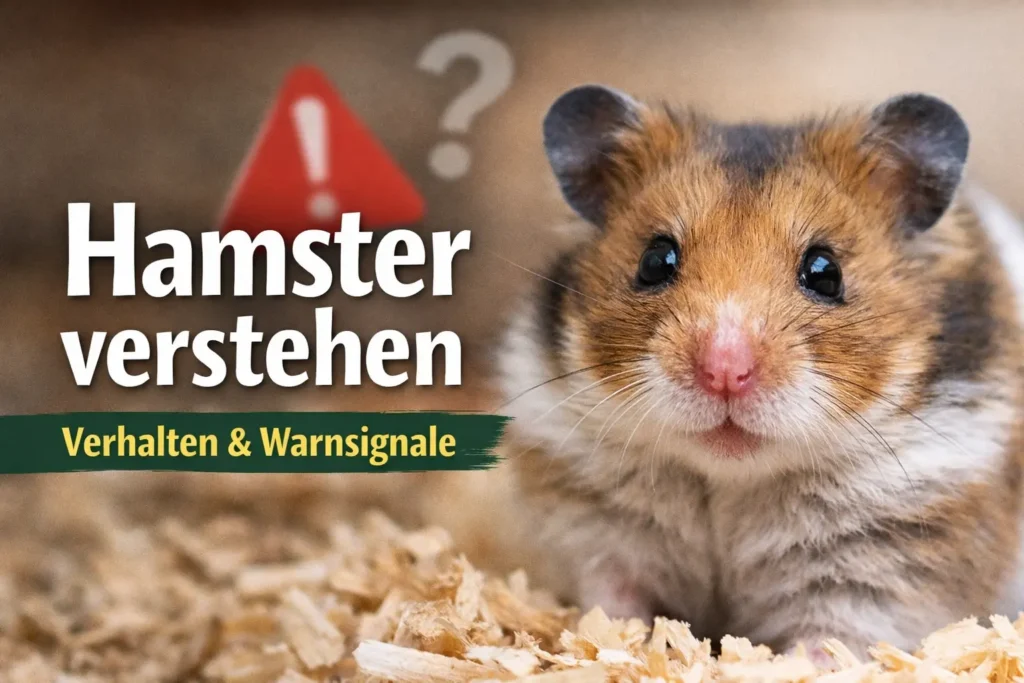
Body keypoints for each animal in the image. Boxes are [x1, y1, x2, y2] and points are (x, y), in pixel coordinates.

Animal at [496, 85, 1024, 657]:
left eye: (826, 271)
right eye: (655, 261)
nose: (724, 372)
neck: (732, 480)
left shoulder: (881, 571)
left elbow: (828, 642)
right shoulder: (598, 532)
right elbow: (613, 600)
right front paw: (621, 641)